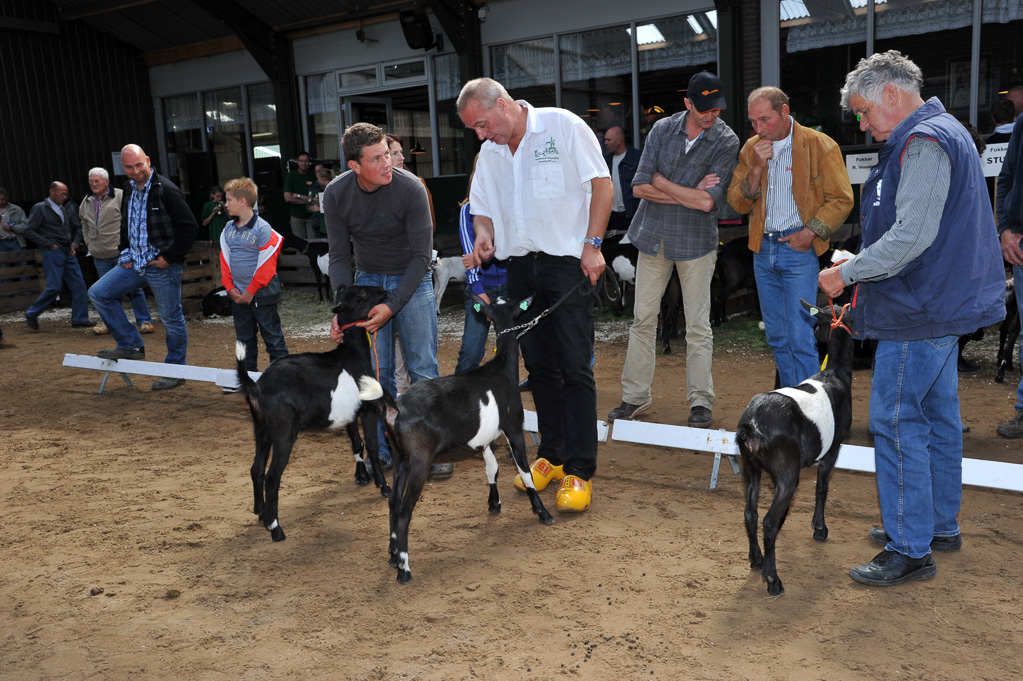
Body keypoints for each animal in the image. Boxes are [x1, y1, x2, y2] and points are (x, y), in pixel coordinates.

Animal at [235, 284, 390, 539]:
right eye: (362, 293)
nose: (383, 290)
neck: (353, 353)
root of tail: (257, 386)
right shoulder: (367, 410)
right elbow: (374, 449)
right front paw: (384, 487)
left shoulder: (350, 413)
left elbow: (357, 444)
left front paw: (362, 477)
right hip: (283, 432)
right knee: (271, 476)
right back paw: (275, 527)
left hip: (262, 430)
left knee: (256, 469)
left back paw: (260, 512)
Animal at [378, 294, 552, 580]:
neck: (501, 369)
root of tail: (396, 408)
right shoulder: (513, 428)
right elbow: (525, 471)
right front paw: (543, 512)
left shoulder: (486, 439)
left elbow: (492, 468)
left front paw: (494, 503)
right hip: (419, 460)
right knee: (404, 511)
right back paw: (404, 568)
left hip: (401, 458)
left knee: (393, 502)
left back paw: (393, 556)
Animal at [736, 300, 855, 593]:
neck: (834, 373)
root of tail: (751, 424)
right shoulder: (832, 451)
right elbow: (822, 489)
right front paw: (820, 529)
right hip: (787, 472)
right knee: (767, 521)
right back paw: (773, 578)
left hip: (751, 466)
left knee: (750, 513)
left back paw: (756, 558)